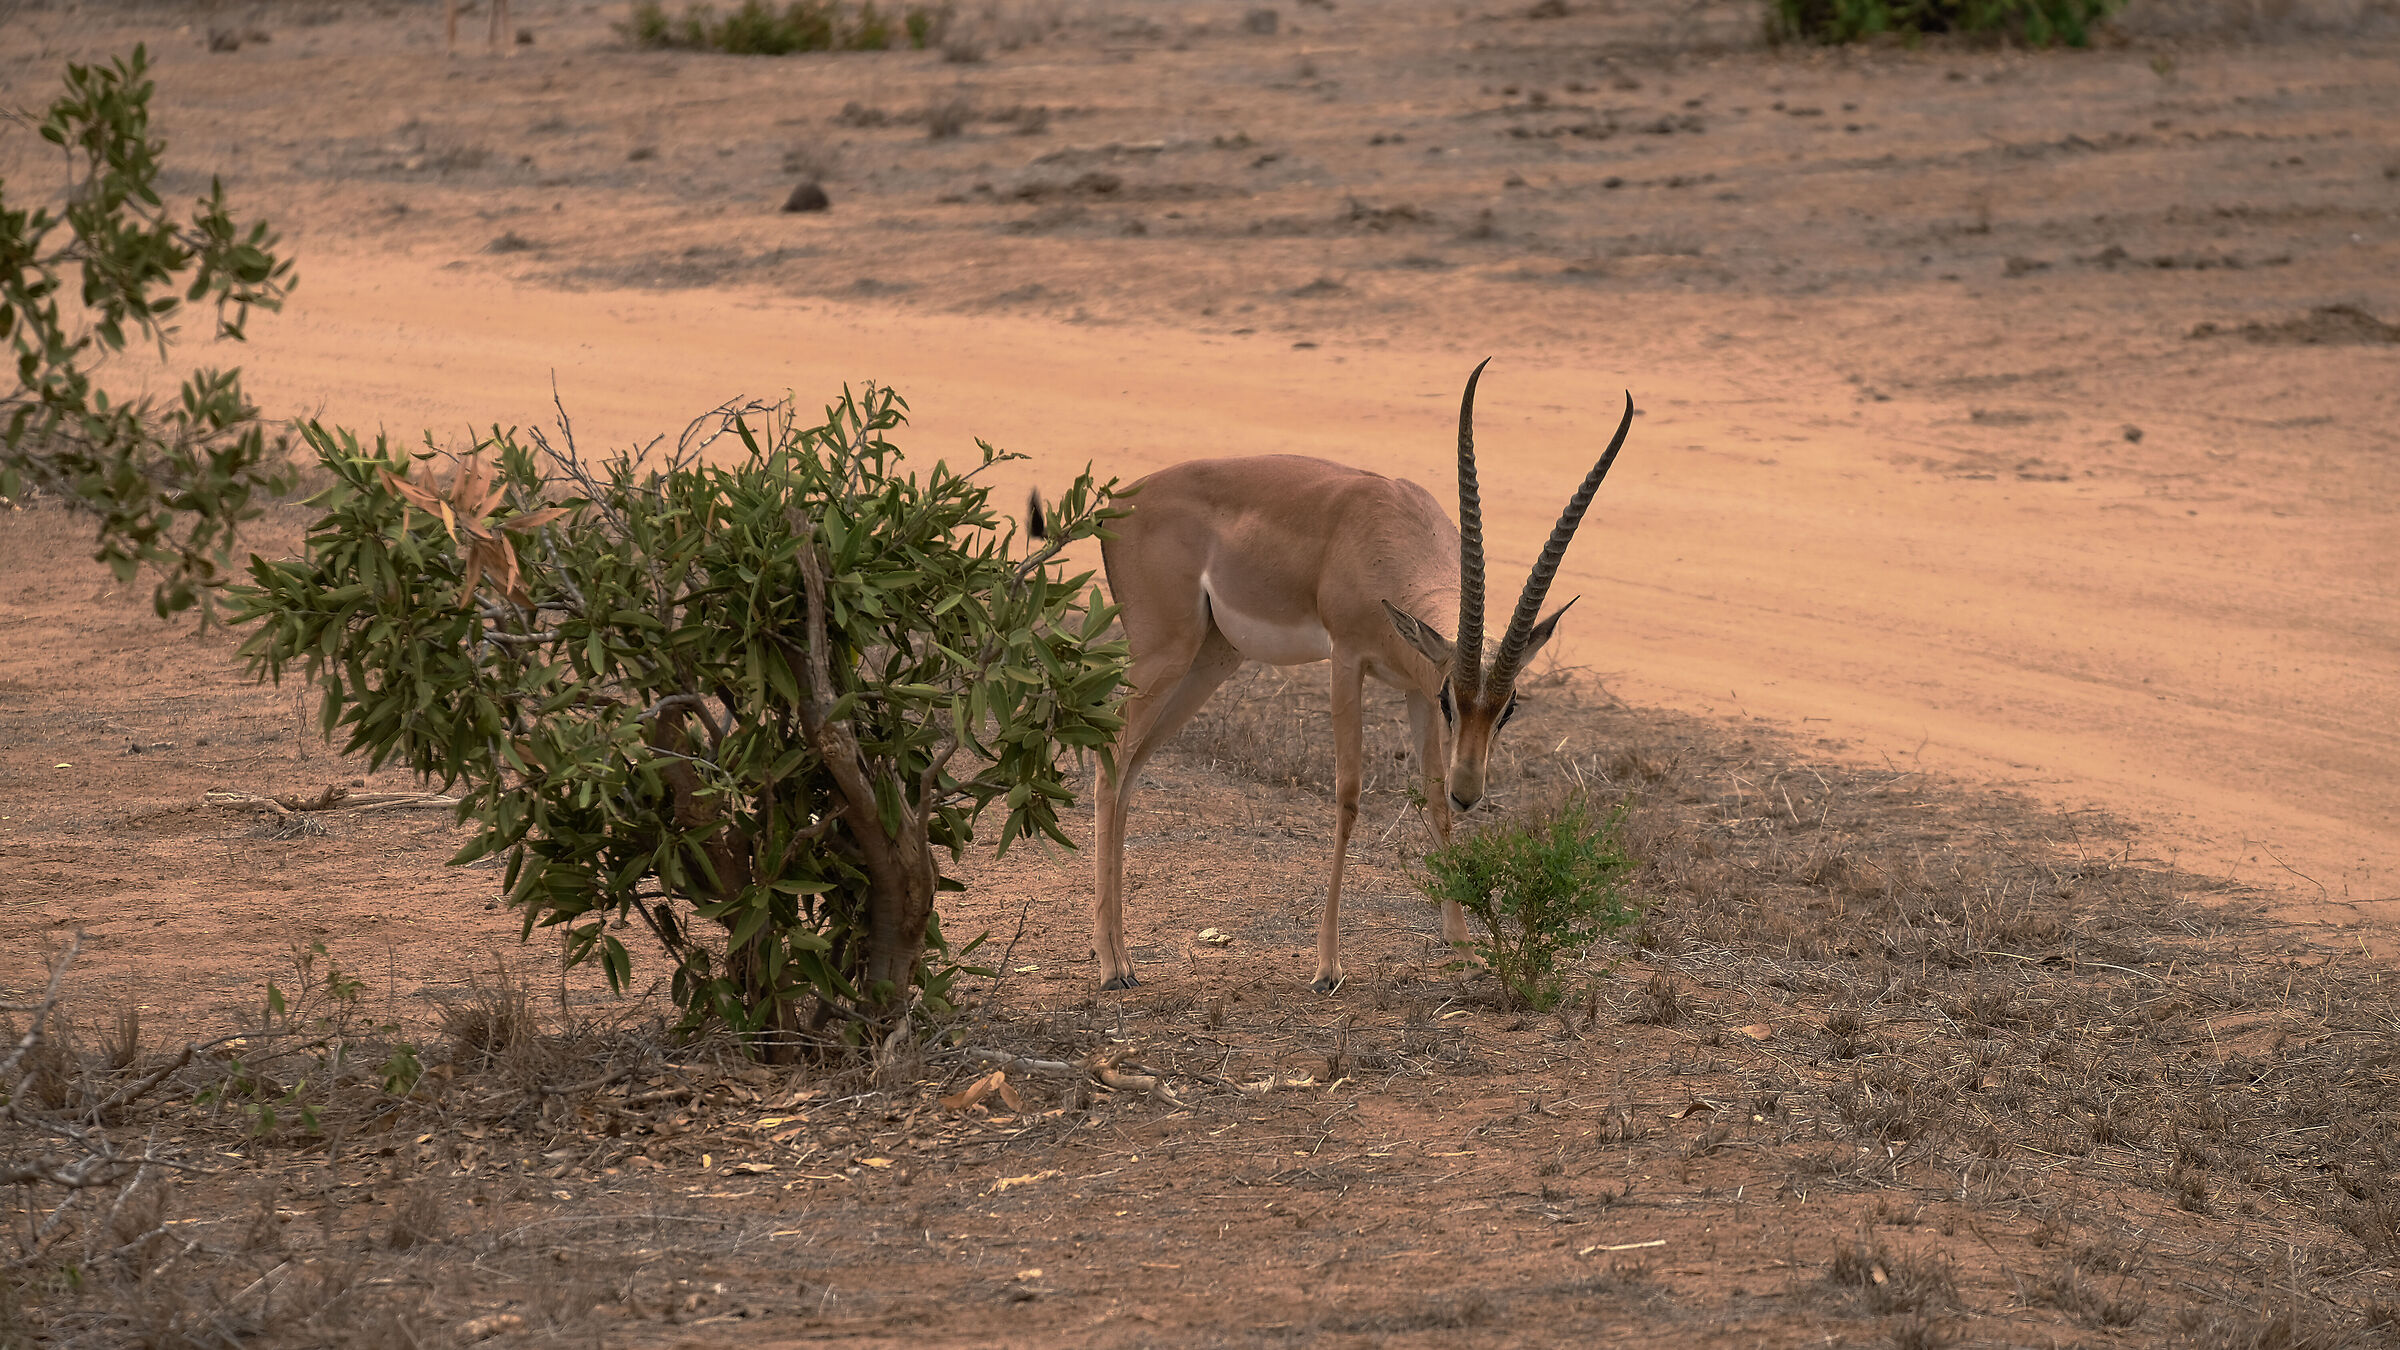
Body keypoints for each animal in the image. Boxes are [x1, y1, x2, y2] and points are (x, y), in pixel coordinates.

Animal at [1088, 360, 1634, 991]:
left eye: (1508, 707)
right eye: (1453, 700)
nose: (1471, 792)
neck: (1383, 530)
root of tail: (1117, 504)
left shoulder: (1413, 685)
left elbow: (1432, 800)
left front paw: (1466, 950)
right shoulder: (1349, 661)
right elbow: (1348, 795)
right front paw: (1327, 965)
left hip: (1209, 662)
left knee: (1133, 766)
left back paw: (1125, 959)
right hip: (1162, 655)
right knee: (1109, 757)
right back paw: (1110, 965)